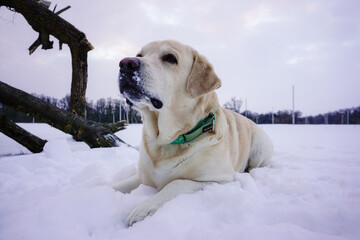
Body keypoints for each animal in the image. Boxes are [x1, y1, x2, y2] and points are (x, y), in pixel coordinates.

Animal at [114, 40, 272, 226]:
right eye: (139, 55)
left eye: (170, 58)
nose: (125, 64)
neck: (168, 142)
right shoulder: (141, 177)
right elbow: (114, 185)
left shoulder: (218, 181)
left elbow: (176, 183)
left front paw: (143, 208)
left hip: (260, 144)